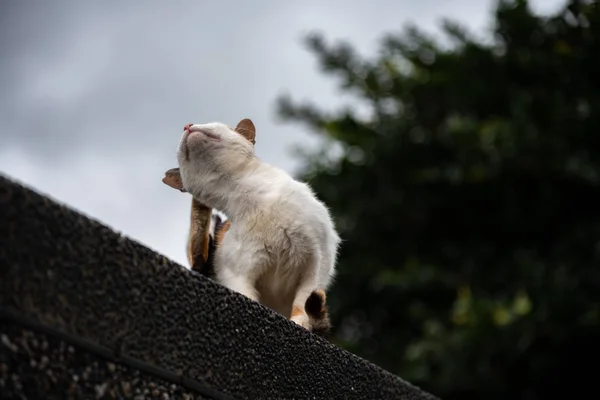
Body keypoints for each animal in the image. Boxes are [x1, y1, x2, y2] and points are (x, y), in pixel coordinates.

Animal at [171, 119, 340, 332]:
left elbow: (303, 302)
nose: (187, 125)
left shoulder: (318, 261)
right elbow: (247, 294)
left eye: (219, 124)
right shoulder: (235, 273)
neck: (249, 195)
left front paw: (300, 322)